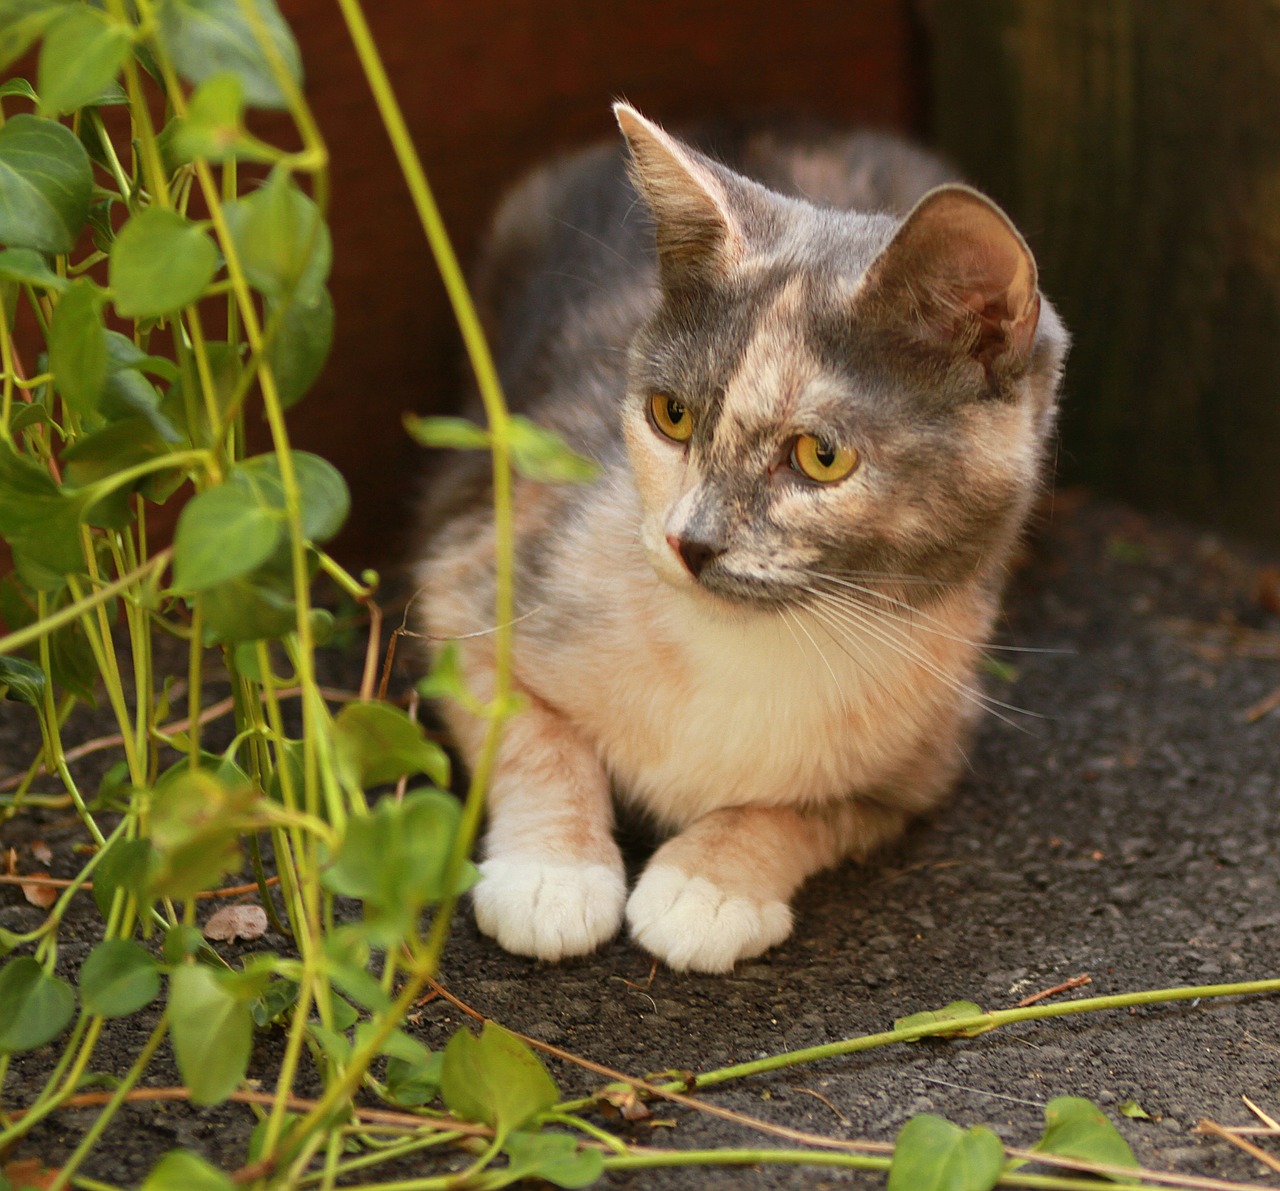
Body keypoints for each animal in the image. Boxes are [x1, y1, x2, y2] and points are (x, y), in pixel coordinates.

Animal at [414, 106, 1064, 968]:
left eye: (822, 456)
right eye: (671, 414)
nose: (689, 541)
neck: (749, 647)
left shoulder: (927, 758)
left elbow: (809, 809)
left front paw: (711, 883)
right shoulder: (471, 563)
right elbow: (525, 727)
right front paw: (553, 872)